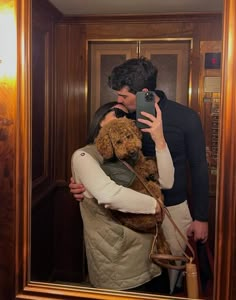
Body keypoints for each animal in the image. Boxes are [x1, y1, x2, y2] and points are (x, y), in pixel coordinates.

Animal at [95, 117, 171, 255]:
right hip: (152, 193)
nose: (131, 151)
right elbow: (147, 167)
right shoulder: (140, 173)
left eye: (128, 136)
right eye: (118, 142)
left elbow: (148, 162)